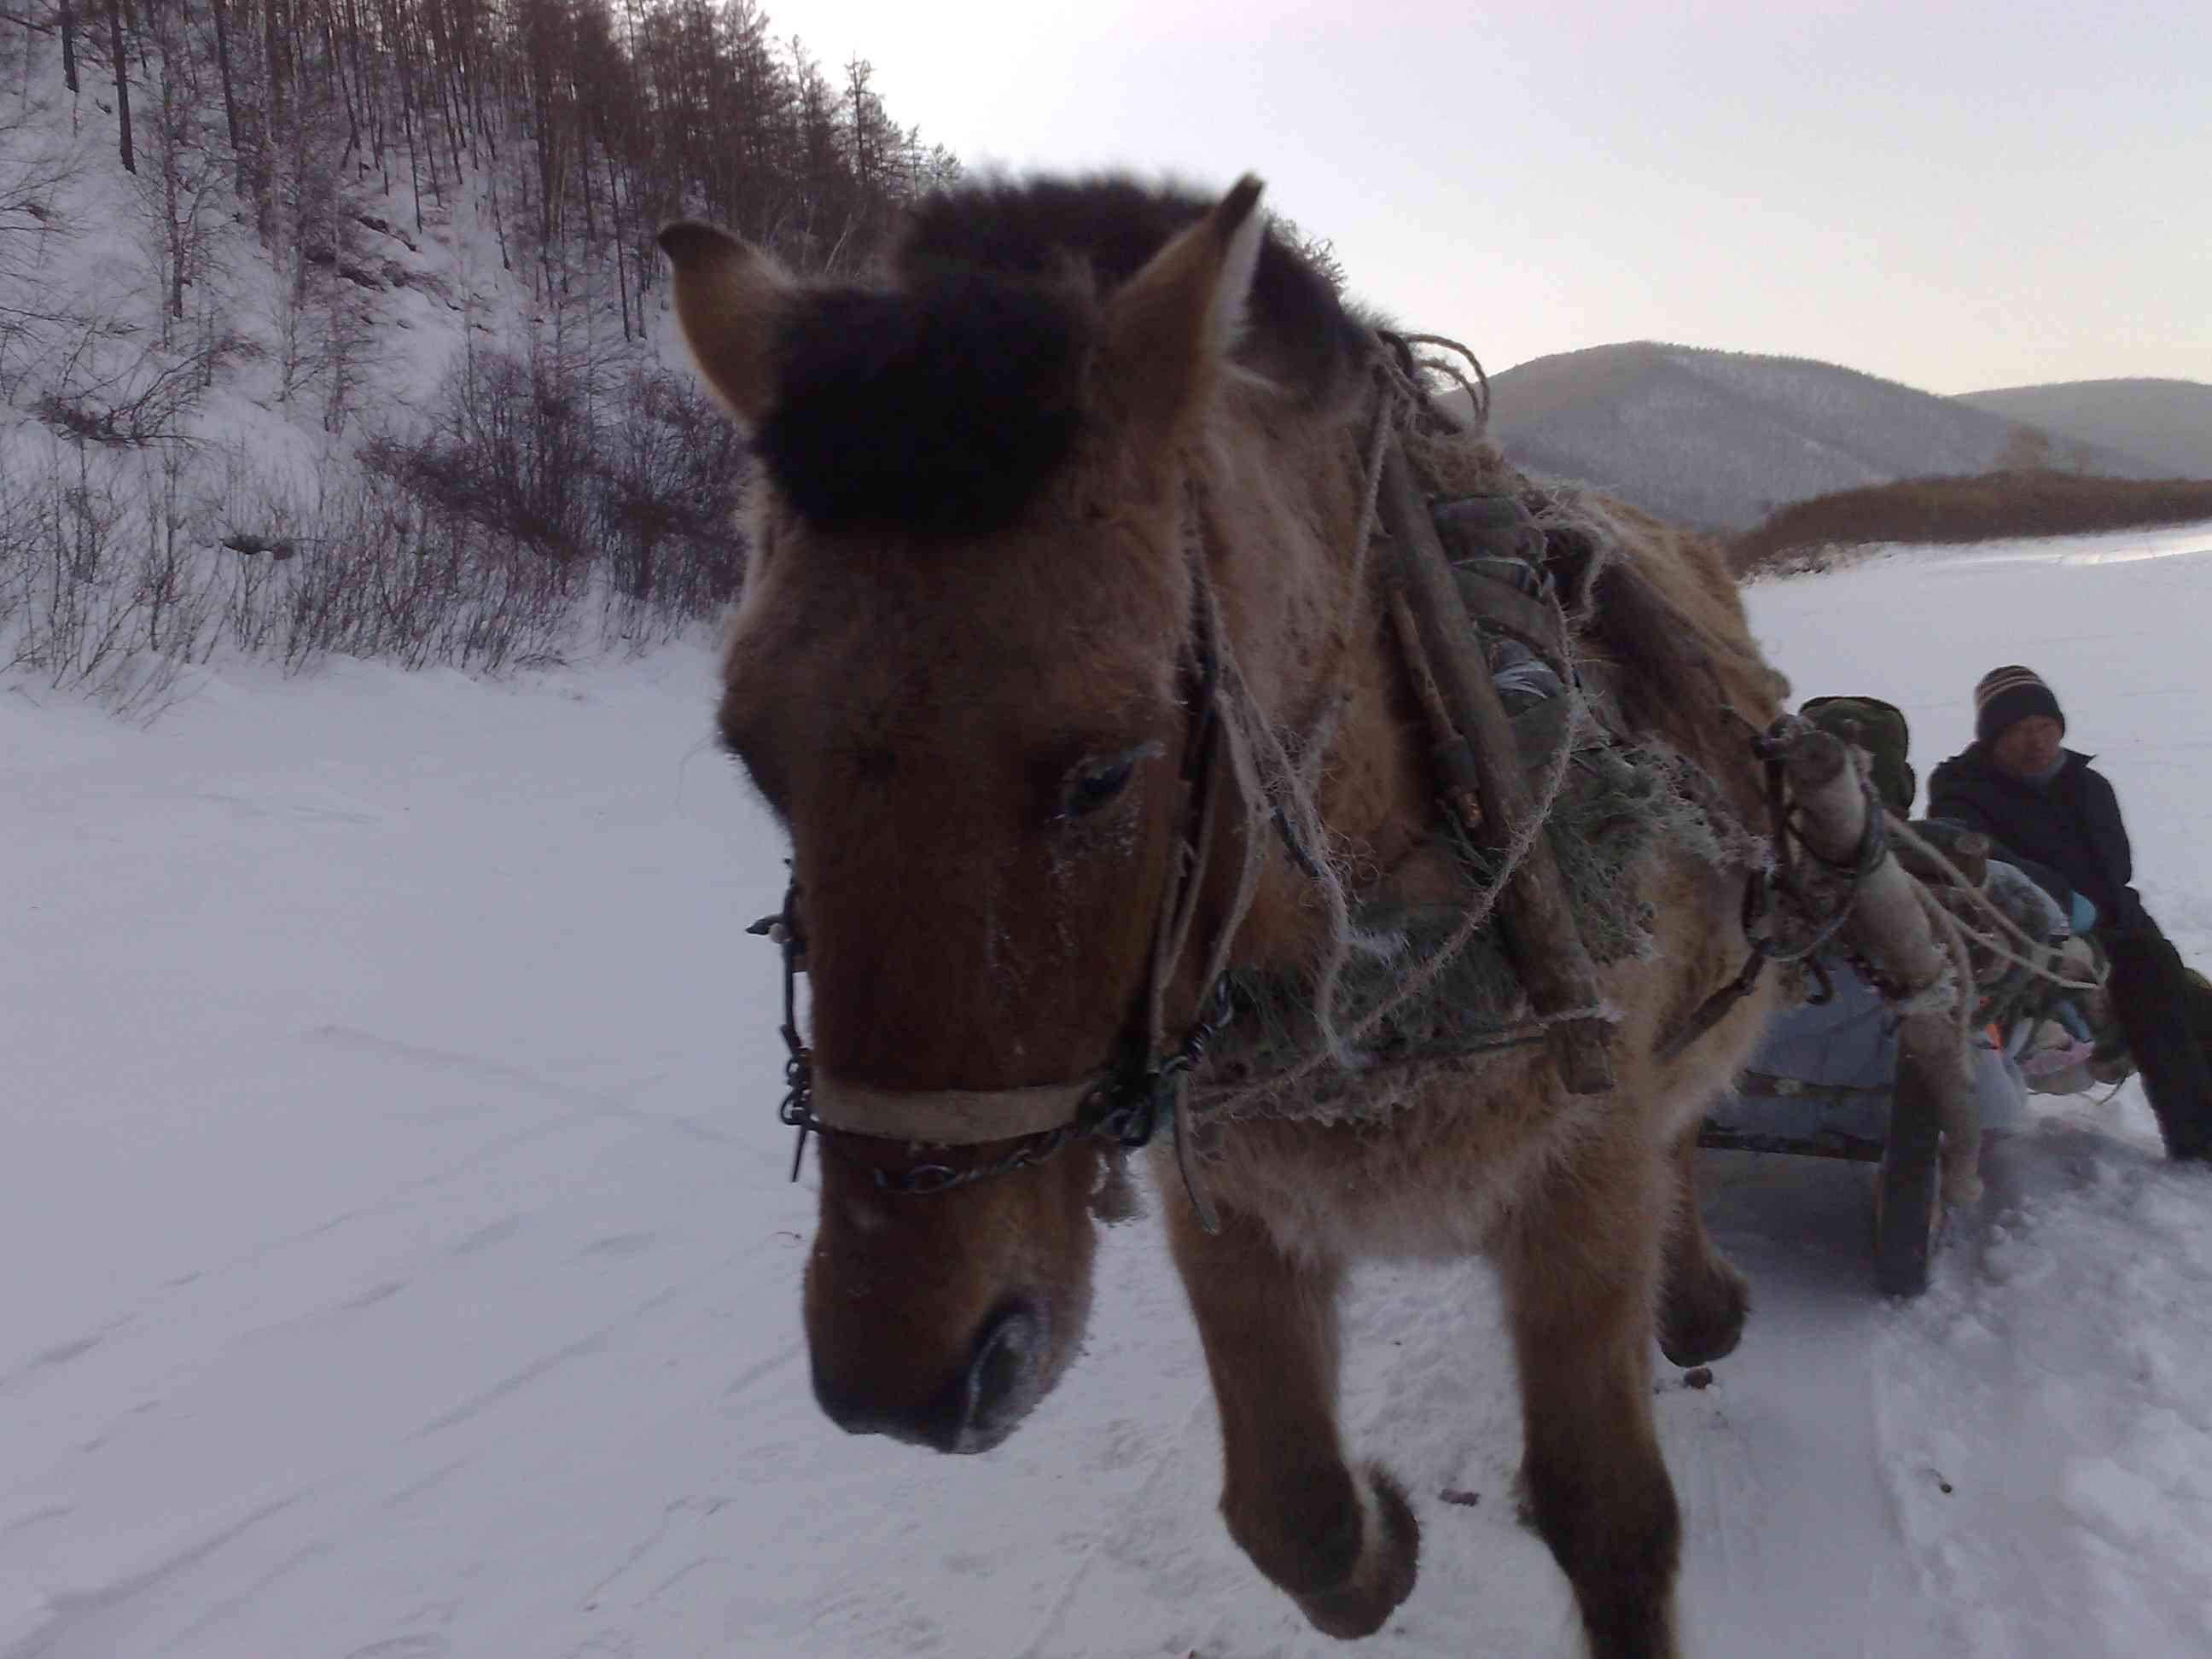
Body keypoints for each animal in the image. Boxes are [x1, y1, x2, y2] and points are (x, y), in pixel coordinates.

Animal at [655, 176, 1778, 1654]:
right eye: (752, 757)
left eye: (1103, 769)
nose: (904, 1380)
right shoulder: (1232, 1204)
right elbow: (1291, 1516)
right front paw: (1386, 1539)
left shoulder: (1581, 1183)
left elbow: (1611, 1518)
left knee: (1691, 1129)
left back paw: (1696, 1294)